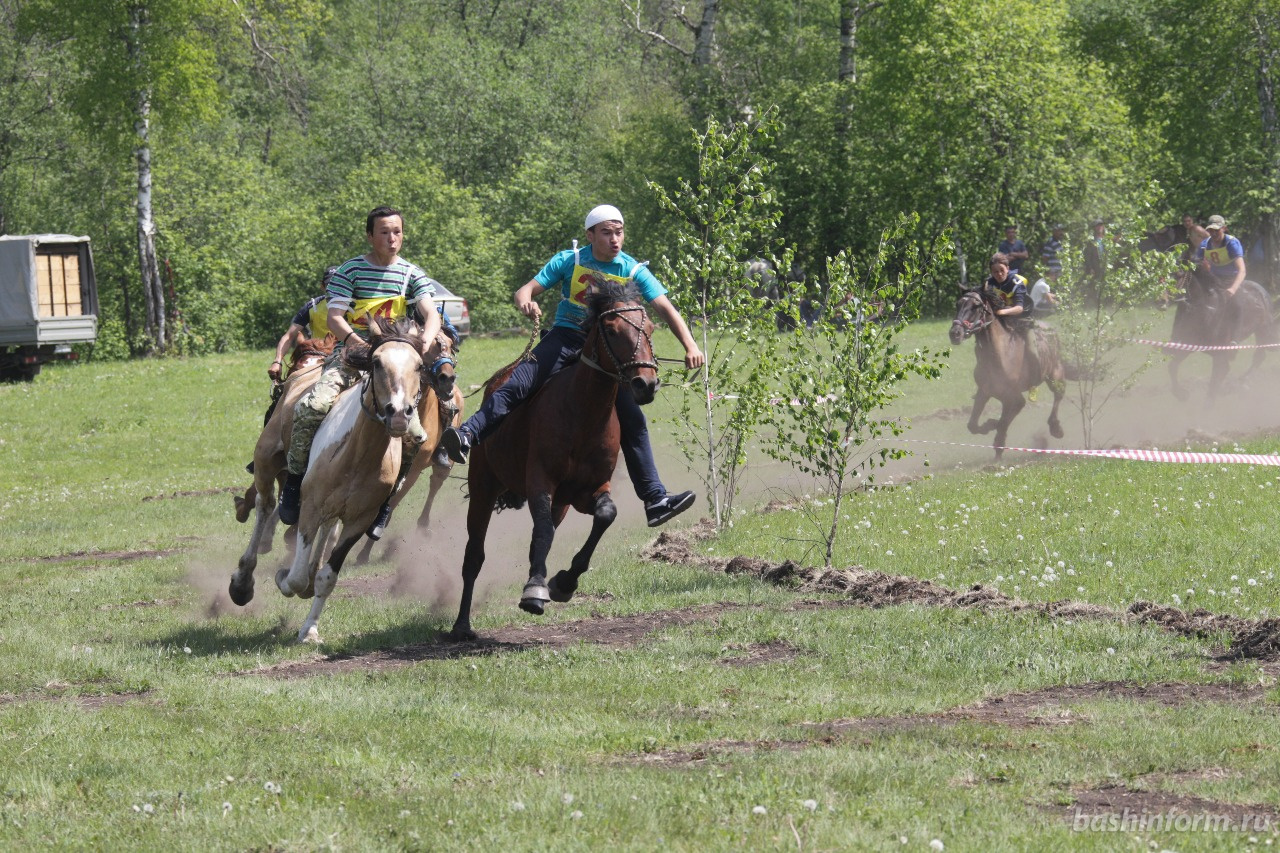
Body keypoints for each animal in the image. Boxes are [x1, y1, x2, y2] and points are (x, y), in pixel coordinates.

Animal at [230, 315, 430, 640]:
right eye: (376, 362)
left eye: (419, 365)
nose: (399, 413)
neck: (359, 455)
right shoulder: (310, 507)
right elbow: (296, 576)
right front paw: (284, 578)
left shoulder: (358, 522)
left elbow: (327, 577)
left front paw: (310, 628)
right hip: (266, 461)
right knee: (265, 505)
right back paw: (242, 582)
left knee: (326, 532)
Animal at [448, 275, 655, 635]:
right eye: (612, 329)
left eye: (652, 328)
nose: (646, 383)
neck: (583, 413)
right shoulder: (540, 482)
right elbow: (542, 532)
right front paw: (534, 591)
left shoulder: (584, 491)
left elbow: (604, 516)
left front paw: (562, 583)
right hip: (483, 488)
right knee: (474, 555)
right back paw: (462, 625)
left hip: (559, 503)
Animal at [952, 285, 1070, 458]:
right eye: (958, 304)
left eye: (976, 306)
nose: (955, 333)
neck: (998, 355)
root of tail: (1051, 329)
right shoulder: (985, 391)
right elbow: (973, 424)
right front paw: (990, 428)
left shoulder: (1014, 397)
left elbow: (1003, 422)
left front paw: (996, 437)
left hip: (1055, 374)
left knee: (1059, 394)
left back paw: (1056, 428)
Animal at [1167, 268, 1274, 399]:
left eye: (1179, 275)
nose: (1161, 300)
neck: (1207, 313)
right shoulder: (1190, 345)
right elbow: (1172, 367)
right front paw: (1181, 394)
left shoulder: (1220, 354)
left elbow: (1215, 382)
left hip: (1263, 331)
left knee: (1259, 356)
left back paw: (1241, 381)